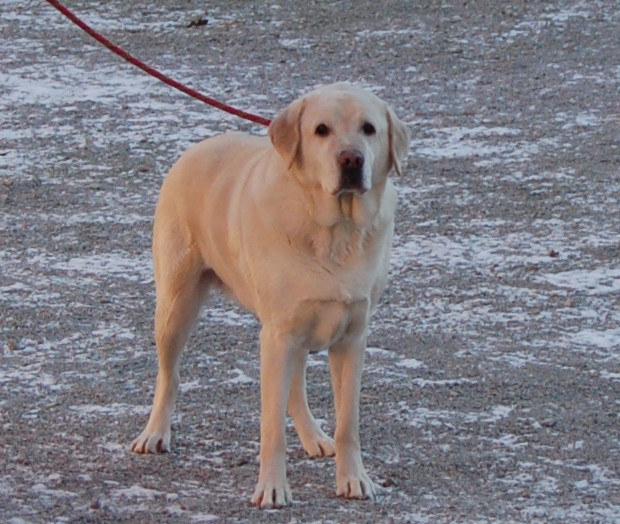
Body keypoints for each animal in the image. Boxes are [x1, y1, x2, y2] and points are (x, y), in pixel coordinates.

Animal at [130, 83, 410, 508]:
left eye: (369, 128)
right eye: (321, 130)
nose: (351, 159)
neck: (334, 232)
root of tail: (197, 147)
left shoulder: (351, 337)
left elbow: (348, 423)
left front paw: (353, 479)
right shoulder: (277, 336)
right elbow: (271, 428)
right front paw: (273, 489)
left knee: (295, 389)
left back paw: (314, 438)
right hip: (176, 307)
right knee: (170, 375)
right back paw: (155, 434)